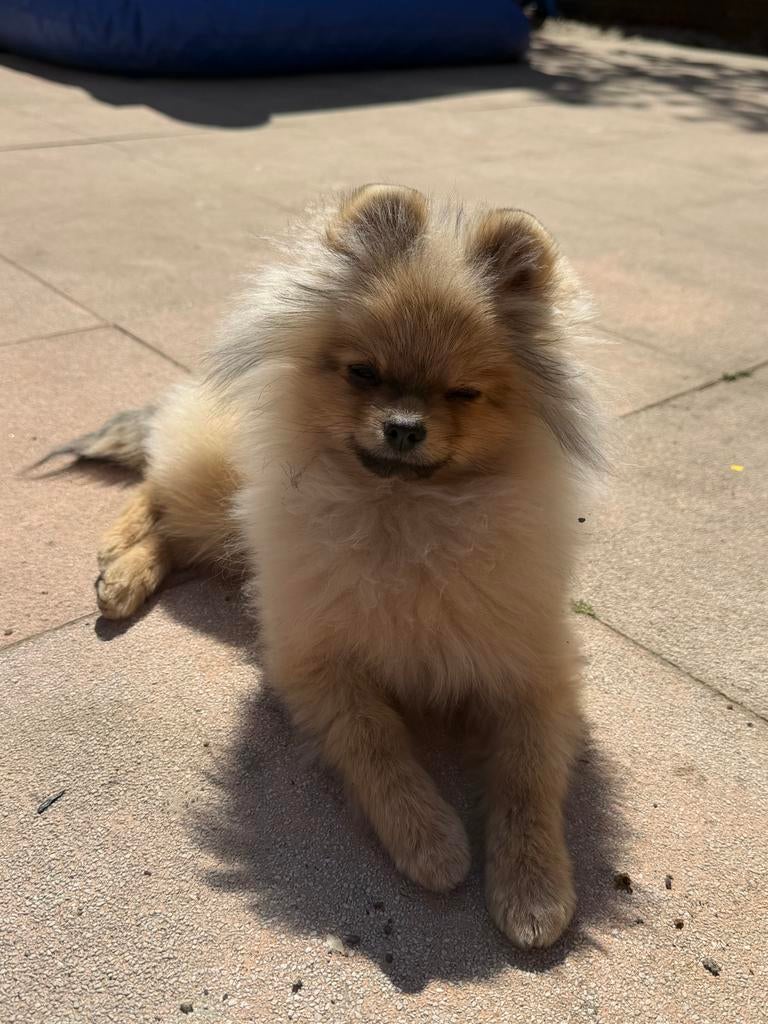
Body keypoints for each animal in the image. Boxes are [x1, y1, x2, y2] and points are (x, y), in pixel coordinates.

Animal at [55, 185, 605, 948]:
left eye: (464, 392)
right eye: (362, 373)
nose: (403, 426)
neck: (405, 517)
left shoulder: (530, 669)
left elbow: (527, 777)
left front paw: (533, 887)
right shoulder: (317, 662)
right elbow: (377, 747)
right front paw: (430, 840)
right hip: (214, 492)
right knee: (155, 492)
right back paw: (120, 563)